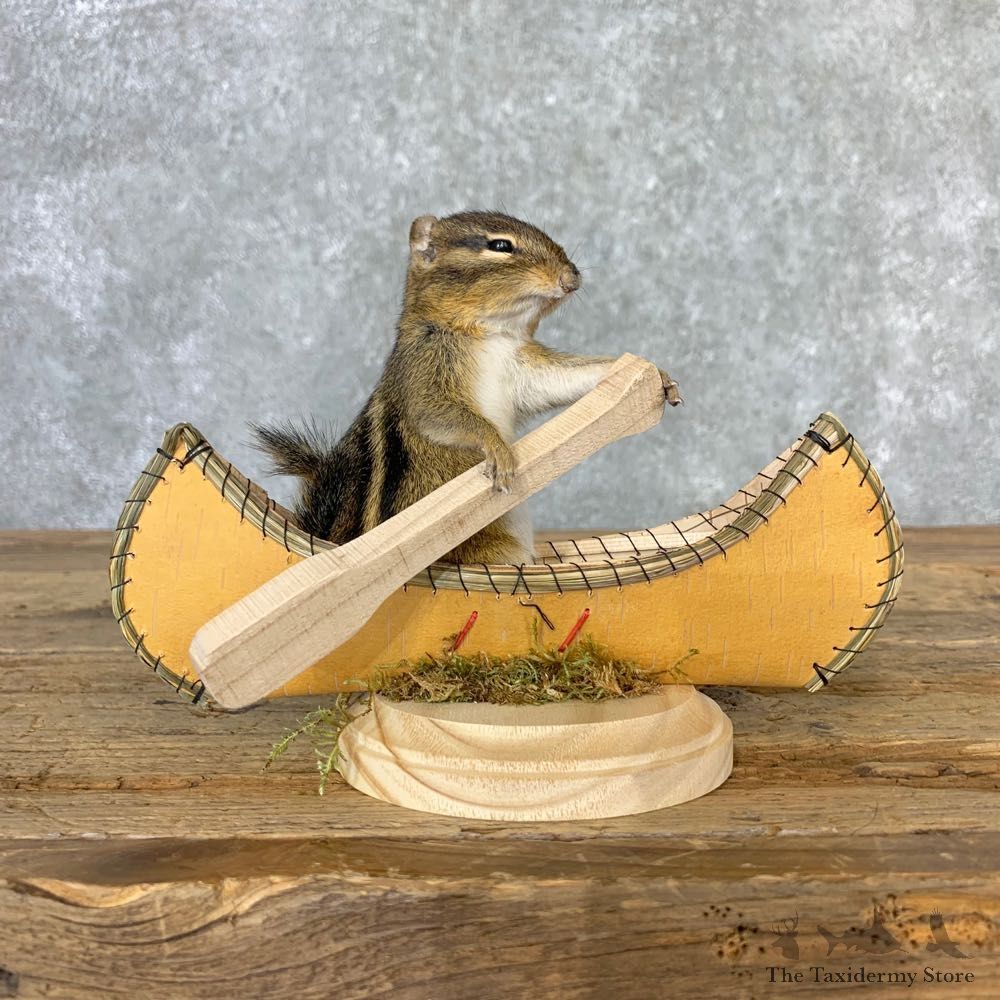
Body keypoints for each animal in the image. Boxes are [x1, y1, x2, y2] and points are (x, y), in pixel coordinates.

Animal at [253, 210, 681, 566]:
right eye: (500, 246)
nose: (571, 277)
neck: (491, 335)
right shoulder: (426, 372)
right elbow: (441, 416)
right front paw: (498, 449)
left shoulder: (525, 369)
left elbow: (563, 380)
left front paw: (654, 374)